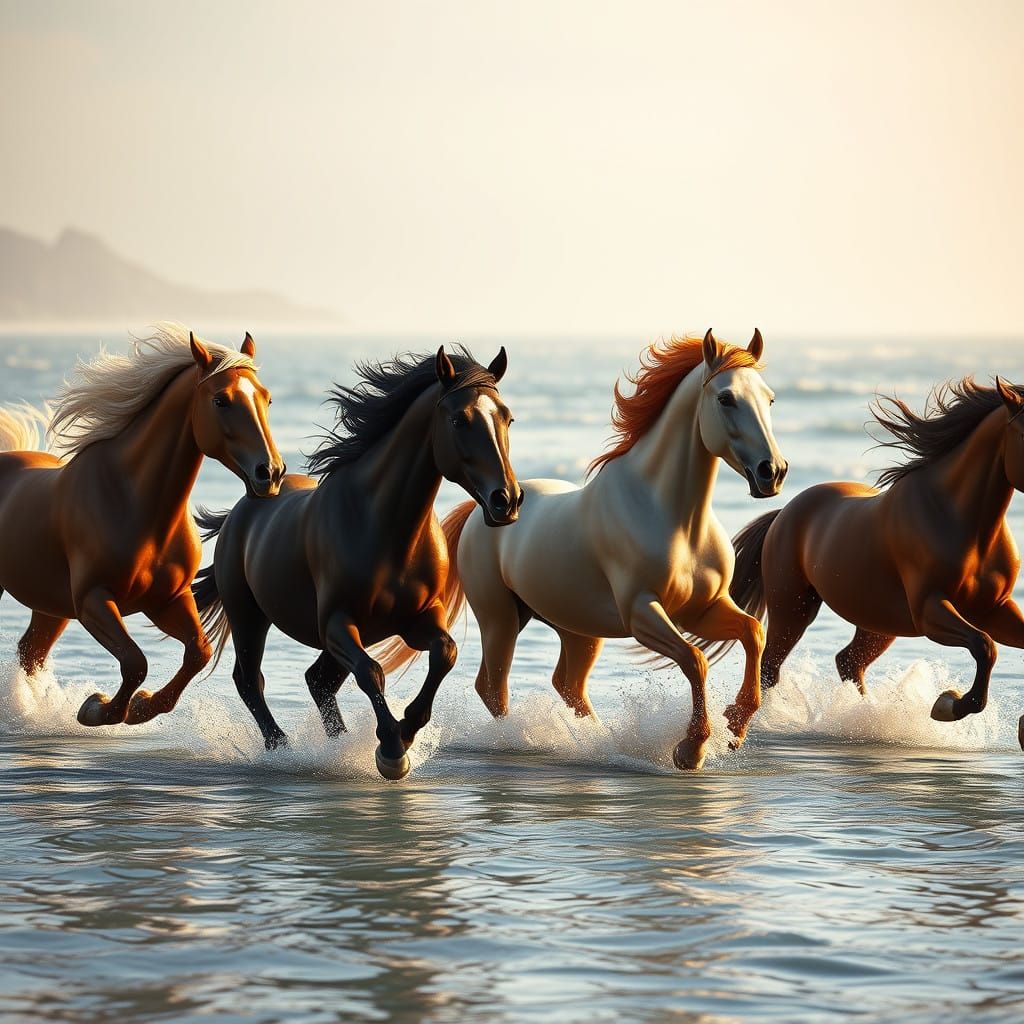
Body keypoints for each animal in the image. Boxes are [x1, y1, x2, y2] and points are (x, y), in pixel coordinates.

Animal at [0, 323, 284, 728]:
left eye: (267, 399)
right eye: (221, 400)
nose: (270, 473)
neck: (135, 506)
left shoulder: (168, 600)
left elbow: (198, 651)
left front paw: (140, 707)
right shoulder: (93, 601)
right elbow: (135, 661)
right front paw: (96, 708)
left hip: (50, 605)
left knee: (32, 652)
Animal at [192, 346, 520, 780]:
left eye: (507, 418)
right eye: (459, 420)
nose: (507, 500)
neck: (384, 530)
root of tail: (241, 510)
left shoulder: (417, 620)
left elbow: (444, 653)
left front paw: (406, 730)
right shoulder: (337, 623)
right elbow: (372, 672)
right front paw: (391, 748)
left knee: (317, 681)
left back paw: (339, 745)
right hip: (248, 616)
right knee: (250, 680)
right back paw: (281, 746)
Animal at [418, 329, 787, 772]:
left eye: (769, 398)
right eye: (726, 398)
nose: (772, 472)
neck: (676, 519)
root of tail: (483, 508)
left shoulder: (702, 610)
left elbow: (753, 633)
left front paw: (736, 724)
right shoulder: (642, 612)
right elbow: (695, 660)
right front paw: (691, 748)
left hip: (577, 628)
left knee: (567, 684)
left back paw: (597, 740)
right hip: (499, 617)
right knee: (494, 686)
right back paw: (518, 740)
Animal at [725, 376, 1024, 745]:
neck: (963, 523)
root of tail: (785, 512)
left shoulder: (996, 609)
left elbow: (990, 644)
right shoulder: (930, 611)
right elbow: (985, 646)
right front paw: (948, 704)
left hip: (878, 621)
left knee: (847, 661)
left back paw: (865, 716)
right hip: (794, 608)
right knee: (771, 666)